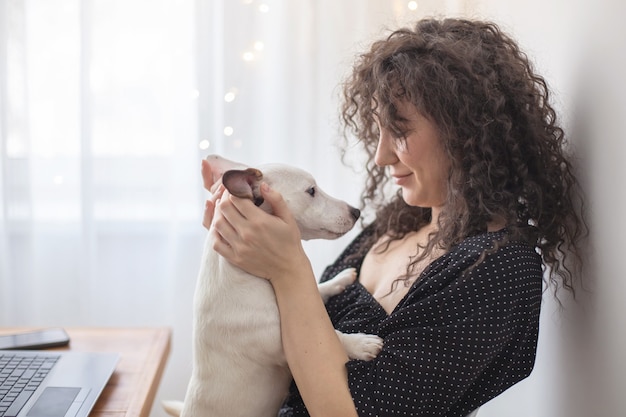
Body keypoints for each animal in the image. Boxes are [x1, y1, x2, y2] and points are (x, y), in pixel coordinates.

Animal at [162, 154, 380, 416]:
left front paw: (339, 280)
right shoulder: (280, 341)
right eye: (311, 191)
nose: (356, 211)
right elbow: (337, 337)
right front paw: (361, 343)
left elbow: (319, 289)